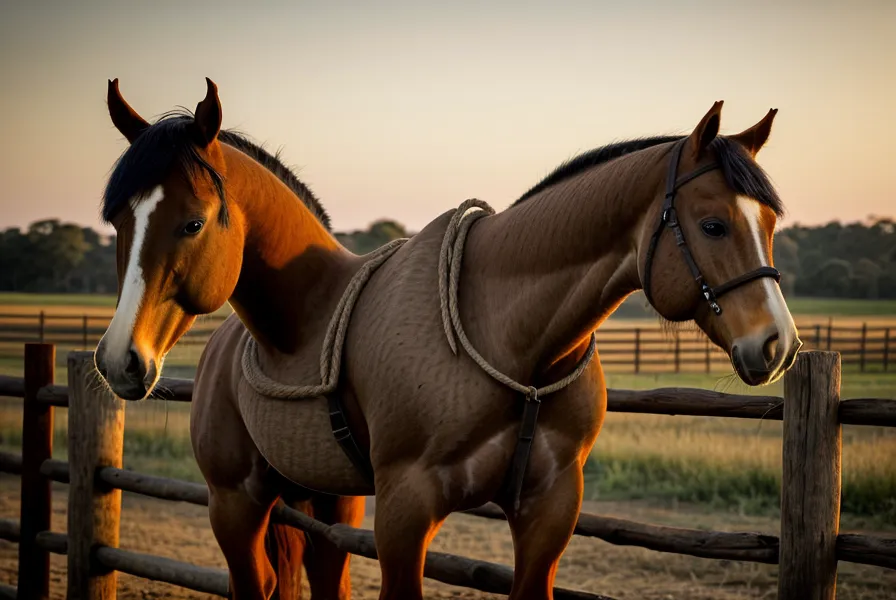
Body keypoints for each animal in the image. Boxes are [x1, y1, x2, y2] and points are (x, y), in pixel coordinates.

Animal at [94, 78, 801, 600]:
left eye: (768, 223)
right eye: (712, 224)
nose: (776, 345)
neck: (516, 343)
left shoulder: (549, 511)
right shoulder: (405, 511)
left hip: (329, 502)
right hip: (234, 503)